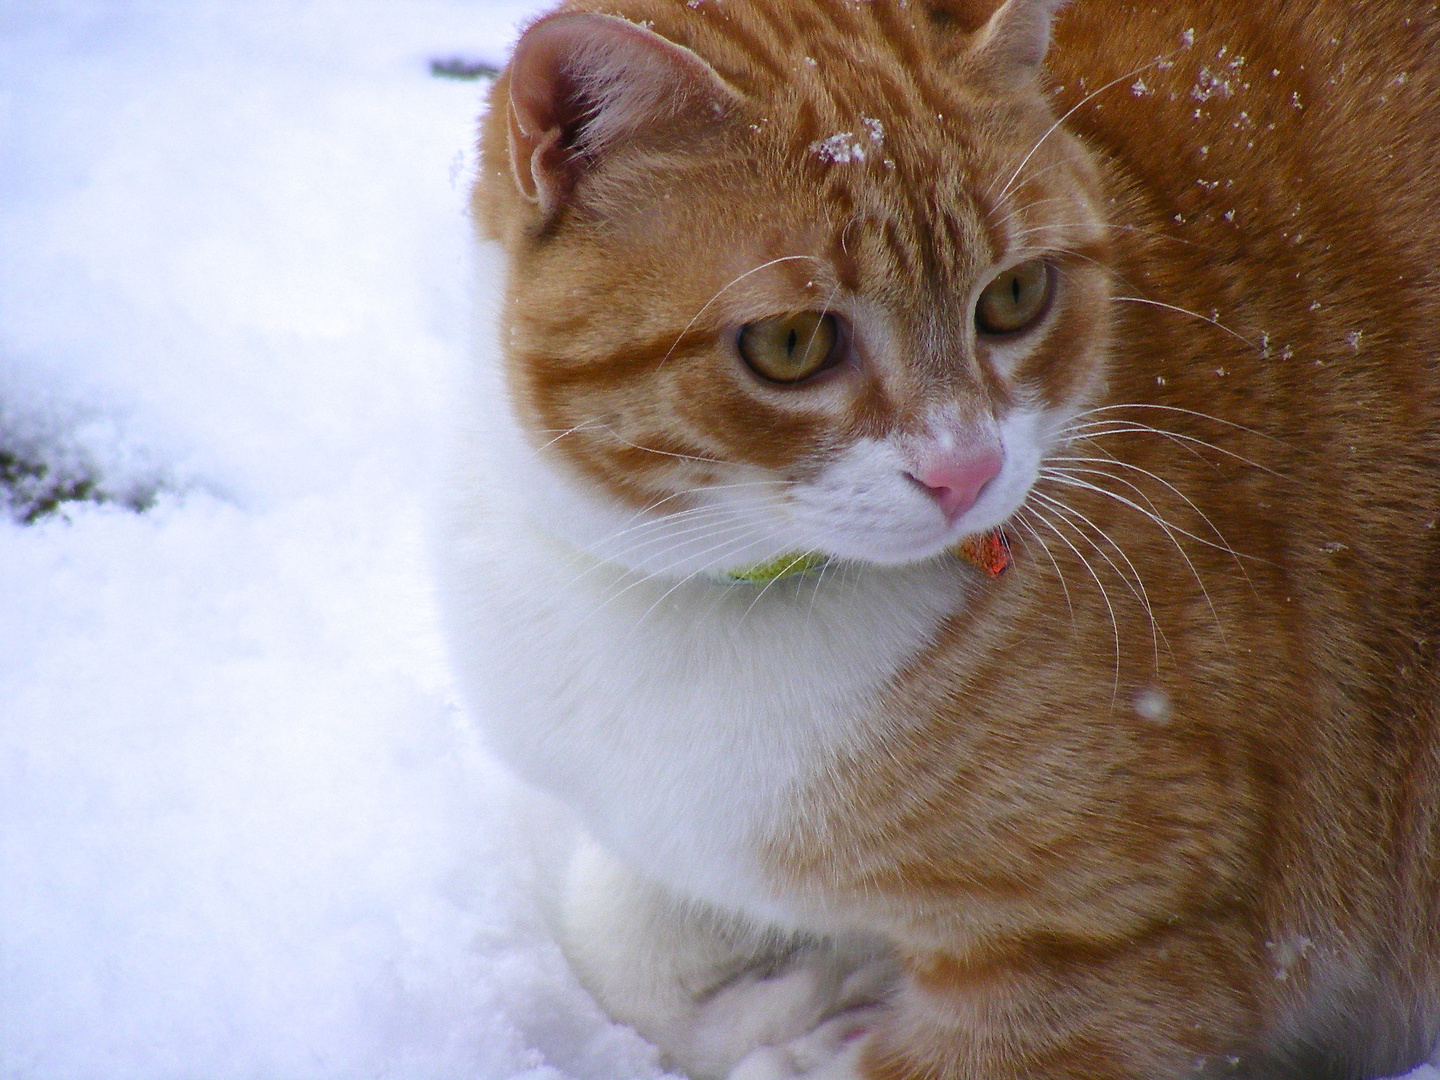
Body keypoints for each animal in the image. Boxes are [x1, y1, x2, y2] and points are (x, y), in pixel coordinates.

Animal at [437, 0, 1440, 1077]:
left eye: (1015, 297)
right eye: (790, 343)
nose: (966, 470)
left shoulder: (1119, 946)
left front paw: (823, 1017)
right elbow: (615, 937)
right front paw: (806, 988)